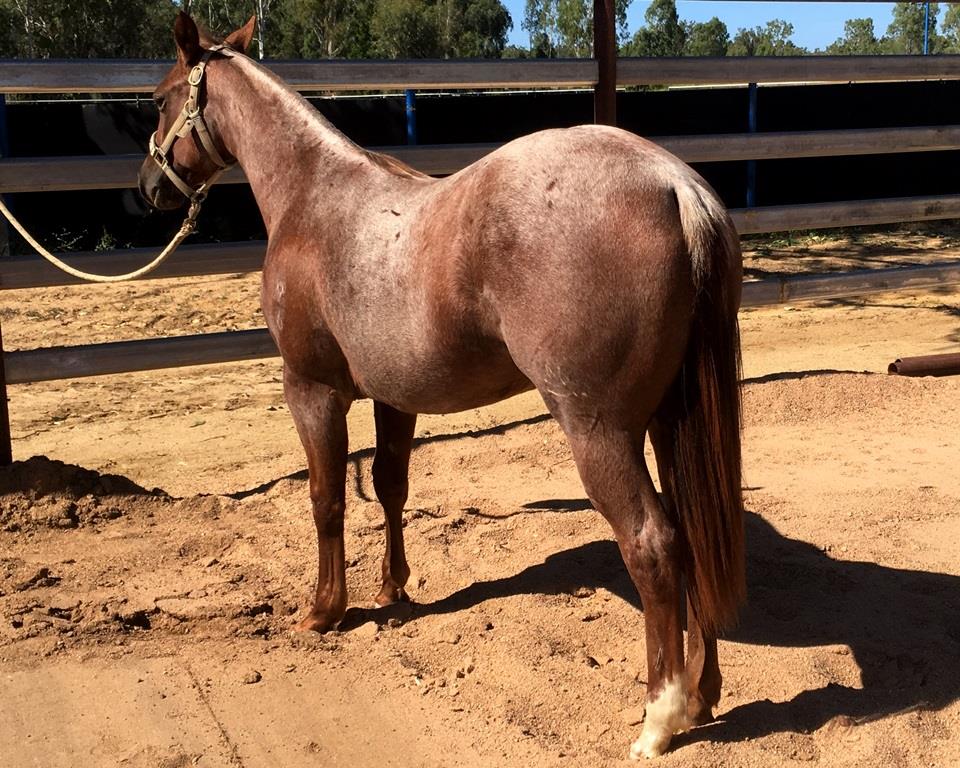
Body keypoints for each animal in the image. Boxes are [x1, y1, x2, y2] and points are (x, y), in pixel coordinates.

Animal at [138, 13, 745, 759]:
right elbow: (390, 486)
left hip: (599, 431)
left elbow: (326, 498)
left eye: (158, 100)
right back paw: (703, 692)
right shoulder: (394, 397)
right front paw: (393, 589)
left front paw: (323, 610)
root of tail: (672, 186)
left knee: (654, 542)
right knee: (695, 530)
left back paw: (660, 718)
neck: (315, 198)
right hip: (669, 420)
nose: (149, 185)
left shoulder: (312, 390)